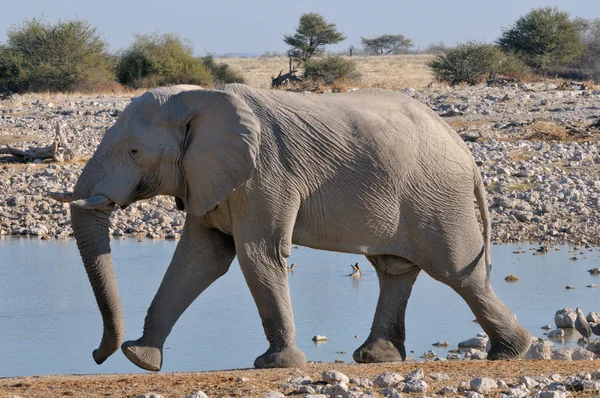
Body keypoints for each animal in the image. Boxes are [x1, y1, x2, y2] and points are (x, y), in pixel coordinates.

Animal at [50, 82, 528, 372]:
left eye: (135, 151)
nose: (97, 354)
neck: (199, 99)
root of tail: (464, 150)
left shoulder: (263, 174)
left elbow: (256, 254)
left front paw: (275, 365)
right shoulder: (208, 174)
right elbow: (200, 259)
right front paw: (142, 359)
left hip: (436, 195)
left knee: (457, 273)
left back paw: (511, 352)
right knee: (395, 270)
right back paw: (377, 357)